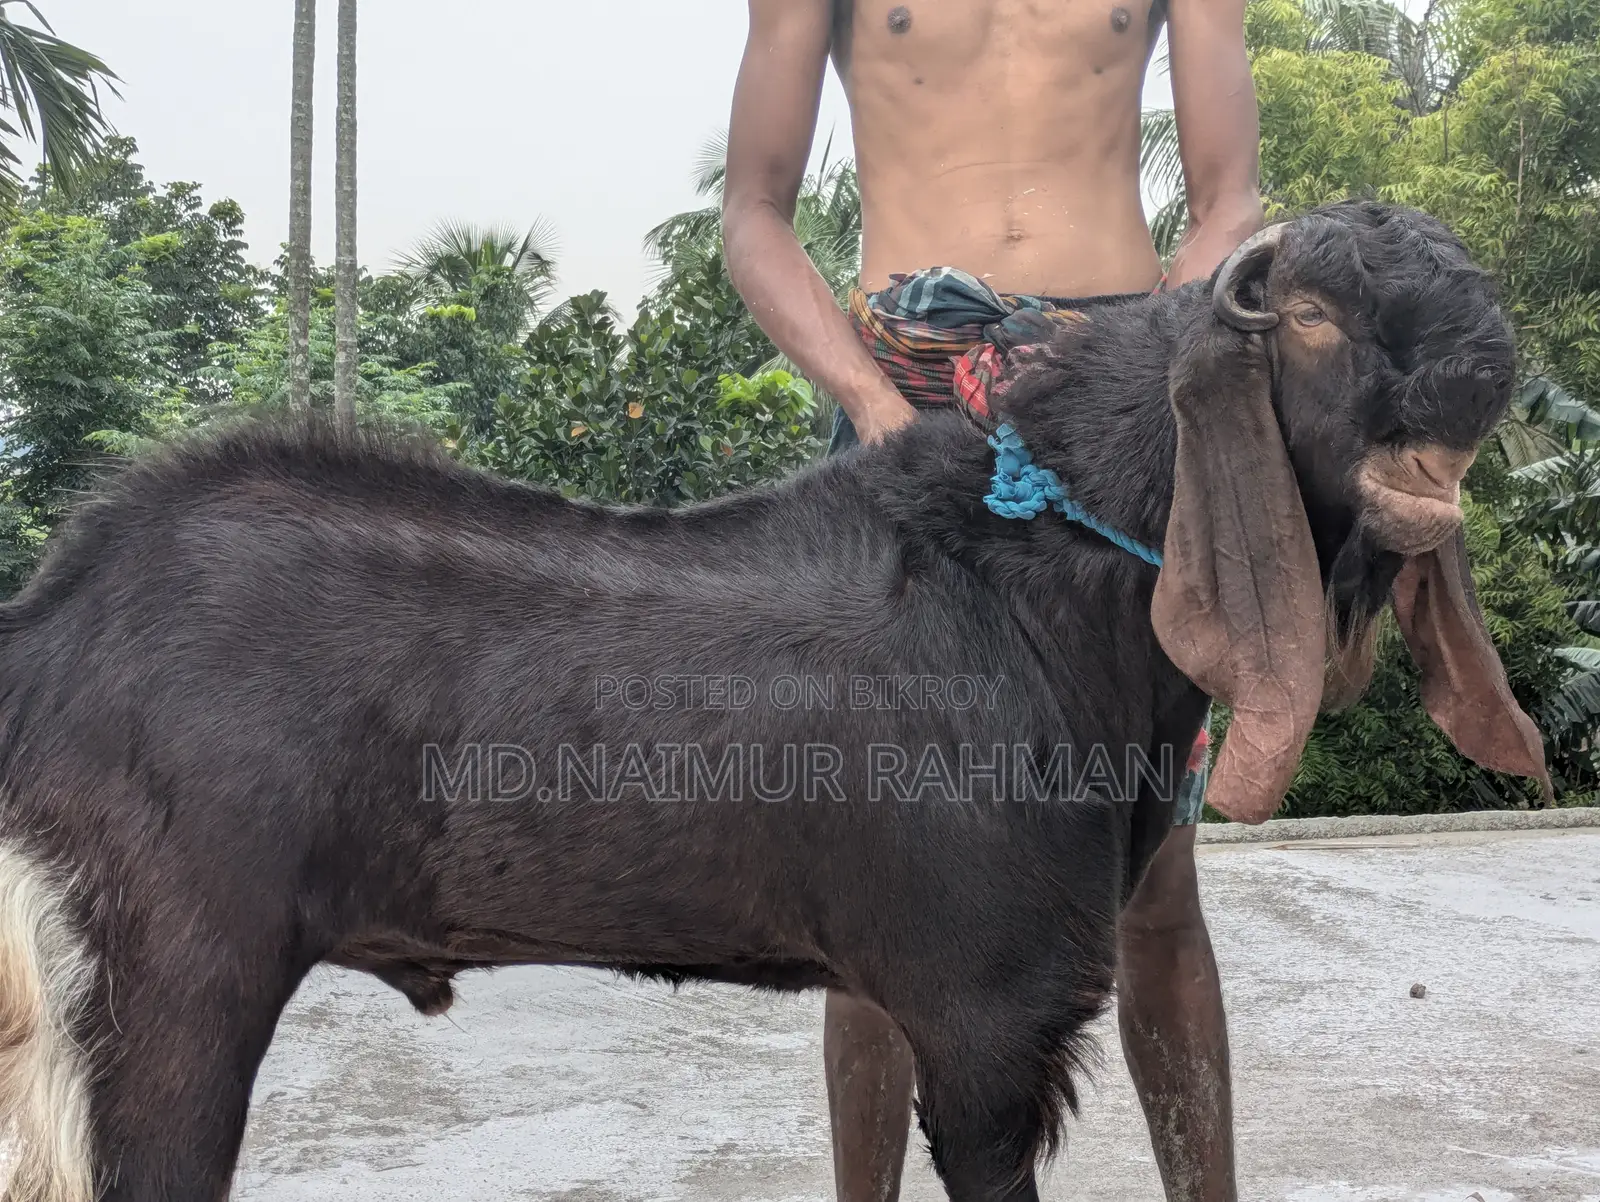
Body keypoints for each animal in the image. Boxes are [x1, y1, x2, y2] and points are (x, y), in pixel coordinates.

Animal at [0, 201, 1549, 1202]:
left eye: (1473, 296)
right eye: (1314, 314)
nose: (1492, 370)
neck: (1052, 601)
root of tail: (50, 634)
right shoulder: (982, 1007)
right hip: (152, 976)